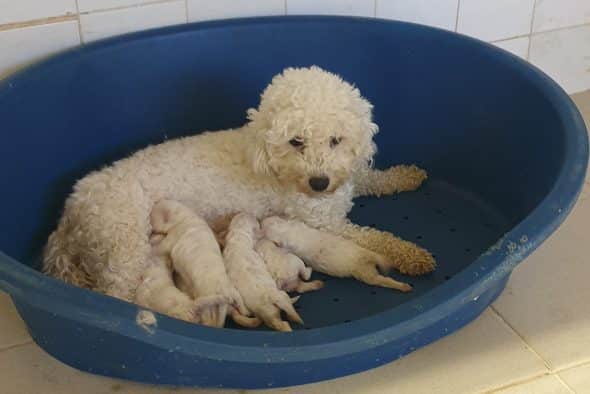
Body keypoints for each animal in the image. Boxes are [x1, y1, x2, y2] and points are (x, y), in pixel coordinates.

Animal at [44, 65, 438, 308]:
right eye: (296, 141)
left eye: (335, 140)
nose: (319, 181)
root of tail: (71, 211)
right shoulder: (324, 223)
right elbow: (376, 237)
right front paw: (413, 255)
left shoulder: (346, 182)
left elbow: (373, 178)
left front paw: (406, 175)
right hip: (124, 247)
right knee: (116, 293)